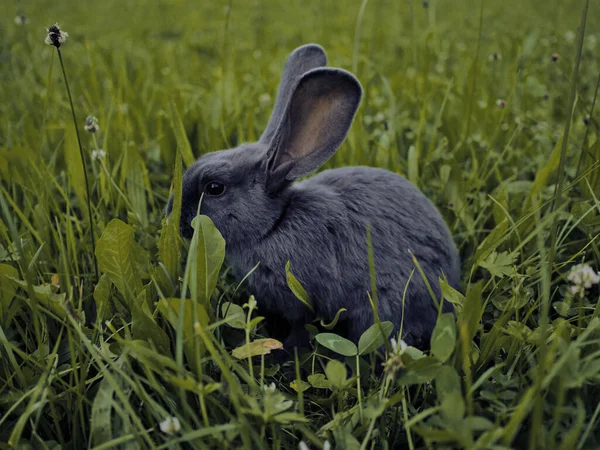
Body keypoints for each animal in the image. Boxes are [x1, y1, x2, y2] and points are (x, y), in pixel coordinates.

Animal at [166, 44, 462, 356]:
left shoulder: (301, 301)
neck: (275, 223)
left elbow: (299, 326)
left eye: (214, 188)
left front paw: (283, 352)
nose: (173, 216)